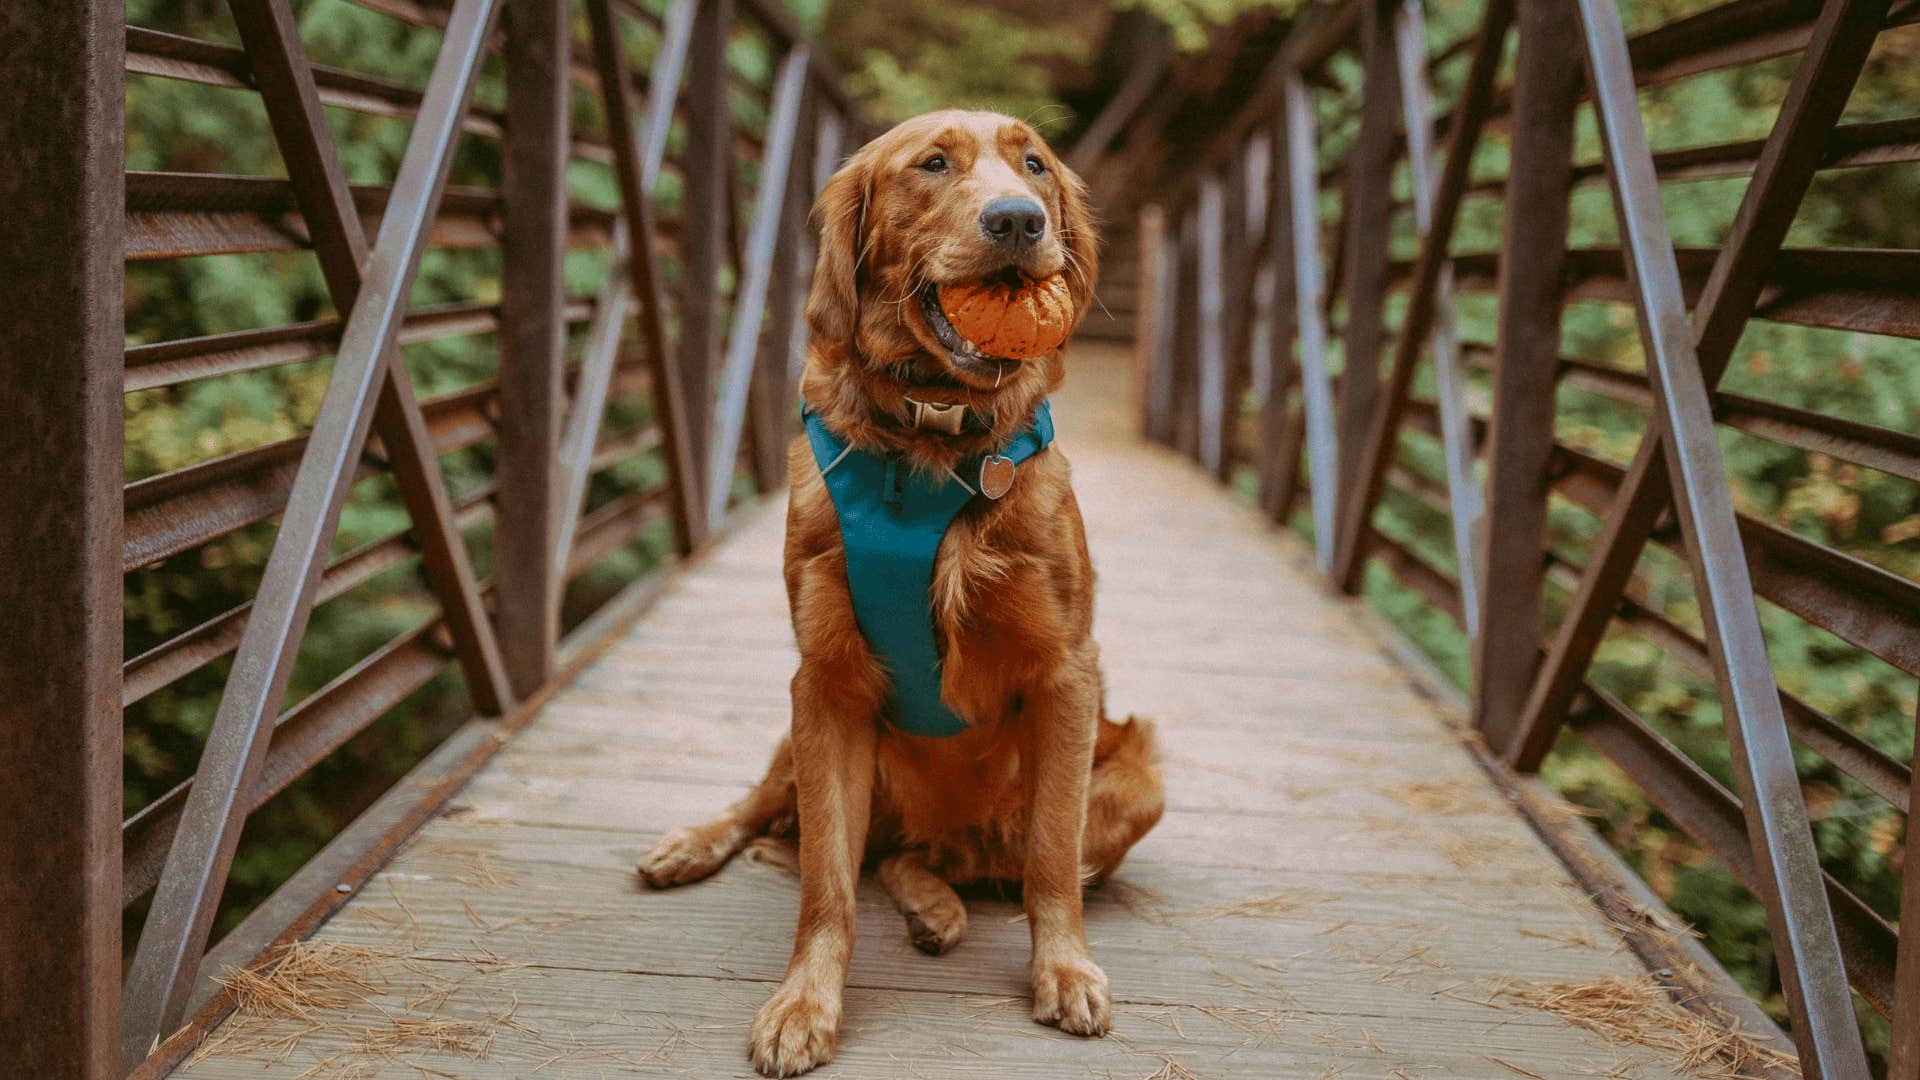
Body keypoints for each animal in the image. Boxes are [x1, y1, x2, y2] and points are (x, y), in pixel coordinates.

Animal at [637, 111, 1159, 1076]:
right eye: (933, 164)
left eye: (1036, 165)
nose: (1019, 220)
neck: (936, 437)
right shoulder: (826, 683)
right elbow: (826, 884)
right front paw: (804, 1004)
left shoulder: (1068, 675)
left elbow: (1050, 861)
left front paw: (1064, 971)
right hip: (804, 738)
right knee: (784, 815)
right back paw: (693, 845)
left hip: (1139, 778)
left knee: (940, 859)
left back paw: (936, 904)